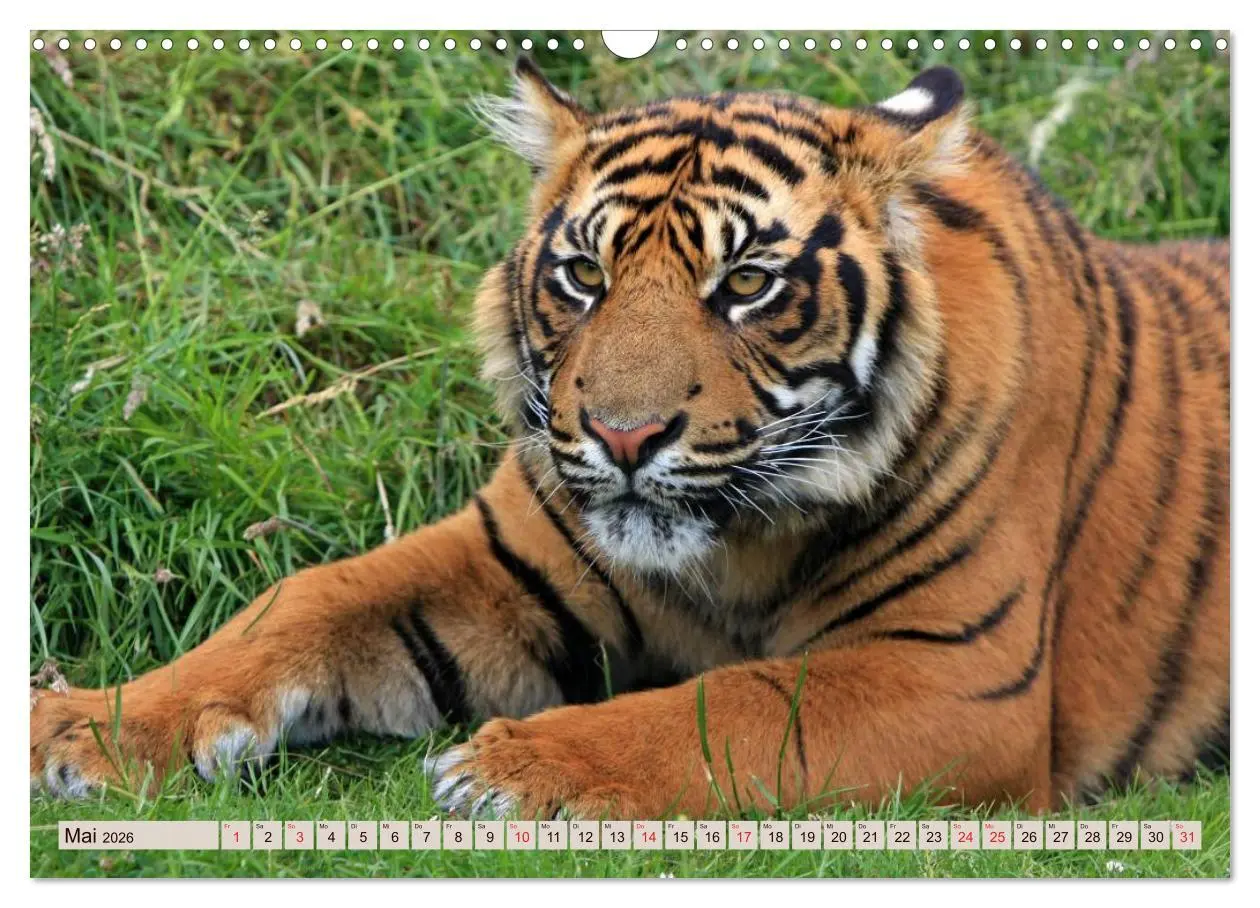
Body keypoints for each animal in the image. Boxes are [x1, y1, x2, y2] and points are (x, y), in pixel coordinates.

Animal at [31, 58, 1230, 819]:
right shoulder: (503, 559)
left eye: (745, 283)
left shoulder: (957, 674)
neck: (737, 548)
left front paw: (512, 769)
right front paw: (88, 725)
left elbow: (731, 705)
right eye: (583, 274)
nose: (623, 434)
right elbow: (305, 597)